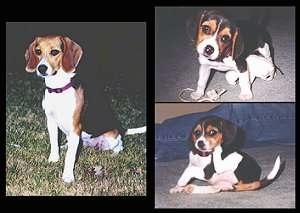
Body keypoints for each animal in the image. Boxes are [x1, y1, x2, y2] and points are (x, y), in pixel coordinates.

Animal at [25, 35, 146, 183]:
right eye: (38, 51)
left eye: (54, 52)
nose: (41, 68)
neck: (58, 89)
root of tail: (120, 129)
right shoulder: (51, 122)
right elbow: (54, 143)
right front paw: (54, 159)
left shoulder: (75, 127)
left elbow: (70, 157)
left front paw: (67, 176)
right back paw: (64, 146)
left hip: (111, 138)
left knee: (120, 146)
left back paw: (114, 154)